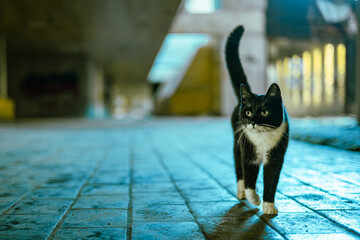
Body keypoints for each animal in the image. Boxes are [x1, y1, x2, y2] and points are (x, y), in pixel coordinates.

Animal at [225, 25, 290, 215]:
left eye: (264, 112)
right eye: (248, 113)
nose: (253, 121)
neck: (263, 137)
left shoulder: (276, 156)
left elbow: (271, 179)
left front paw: (268, 205)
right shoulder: (248, 151)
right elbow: (249, 177)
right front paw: (254, 199)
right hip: (237, 143)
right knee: (239, 170)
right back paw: (241, 192)